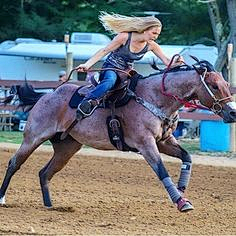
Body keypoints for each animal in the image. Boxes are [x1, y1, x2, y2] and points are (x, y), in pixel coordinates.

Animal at [0, 59, 236, 212]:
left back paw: (50, 206)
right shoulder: (146, 144)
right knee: (14, 163)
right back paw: (2, 198)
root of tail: (46, 95)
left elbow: (187, 157)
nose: (232, 113)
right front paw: (181, 202)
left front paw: (181, 189)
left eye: (226, 84)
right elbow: (161, 170)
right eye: (214, 85)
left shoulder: (165, 141)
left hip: (67, 148)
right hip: (33, 138)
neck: (153, 97)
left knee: (45, 173)